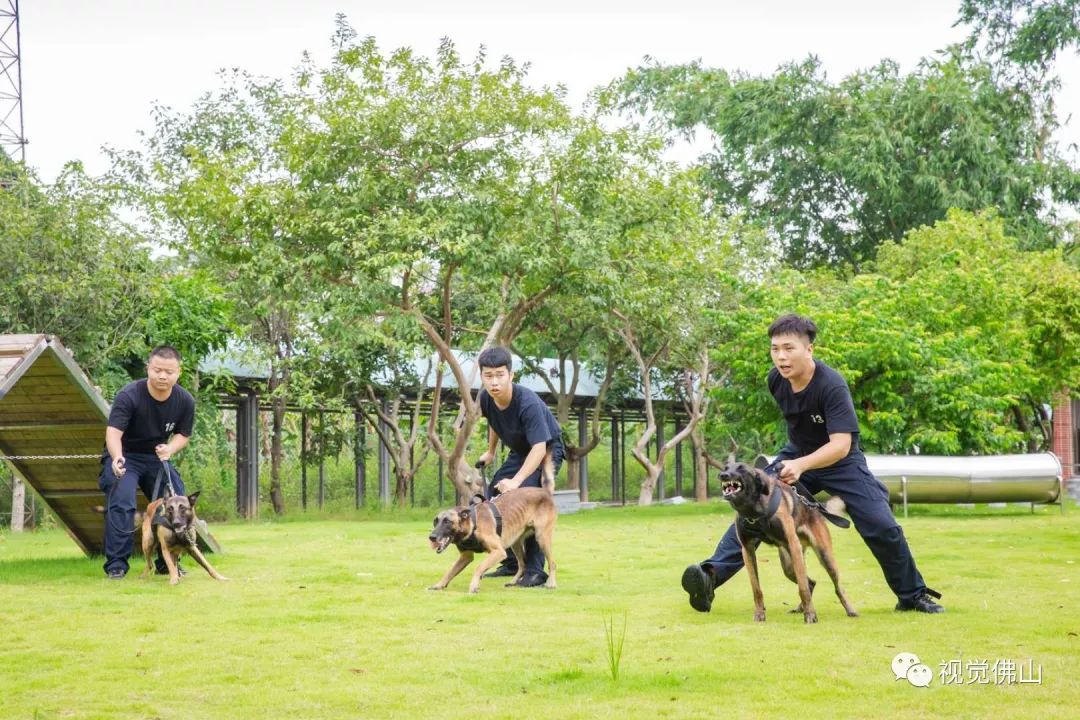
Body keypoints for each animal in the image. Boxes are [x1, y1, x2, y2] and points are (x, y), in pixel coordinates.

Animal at [717, 462, 859, 626]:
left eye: (741, 468)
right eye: (726, 467)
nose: (723, 475)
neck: (753, 509)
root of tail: (815, 508)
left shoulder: (792, 544)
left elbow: (802, 588)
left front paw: (811, 615)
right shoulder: (747, 550)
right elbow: (756, 589)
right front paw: (759, 614)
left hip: (823, 557)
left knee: (836, 587)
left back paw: (849, 609)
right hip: (789, 566)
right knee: (811, 582)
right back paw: (801, 608)